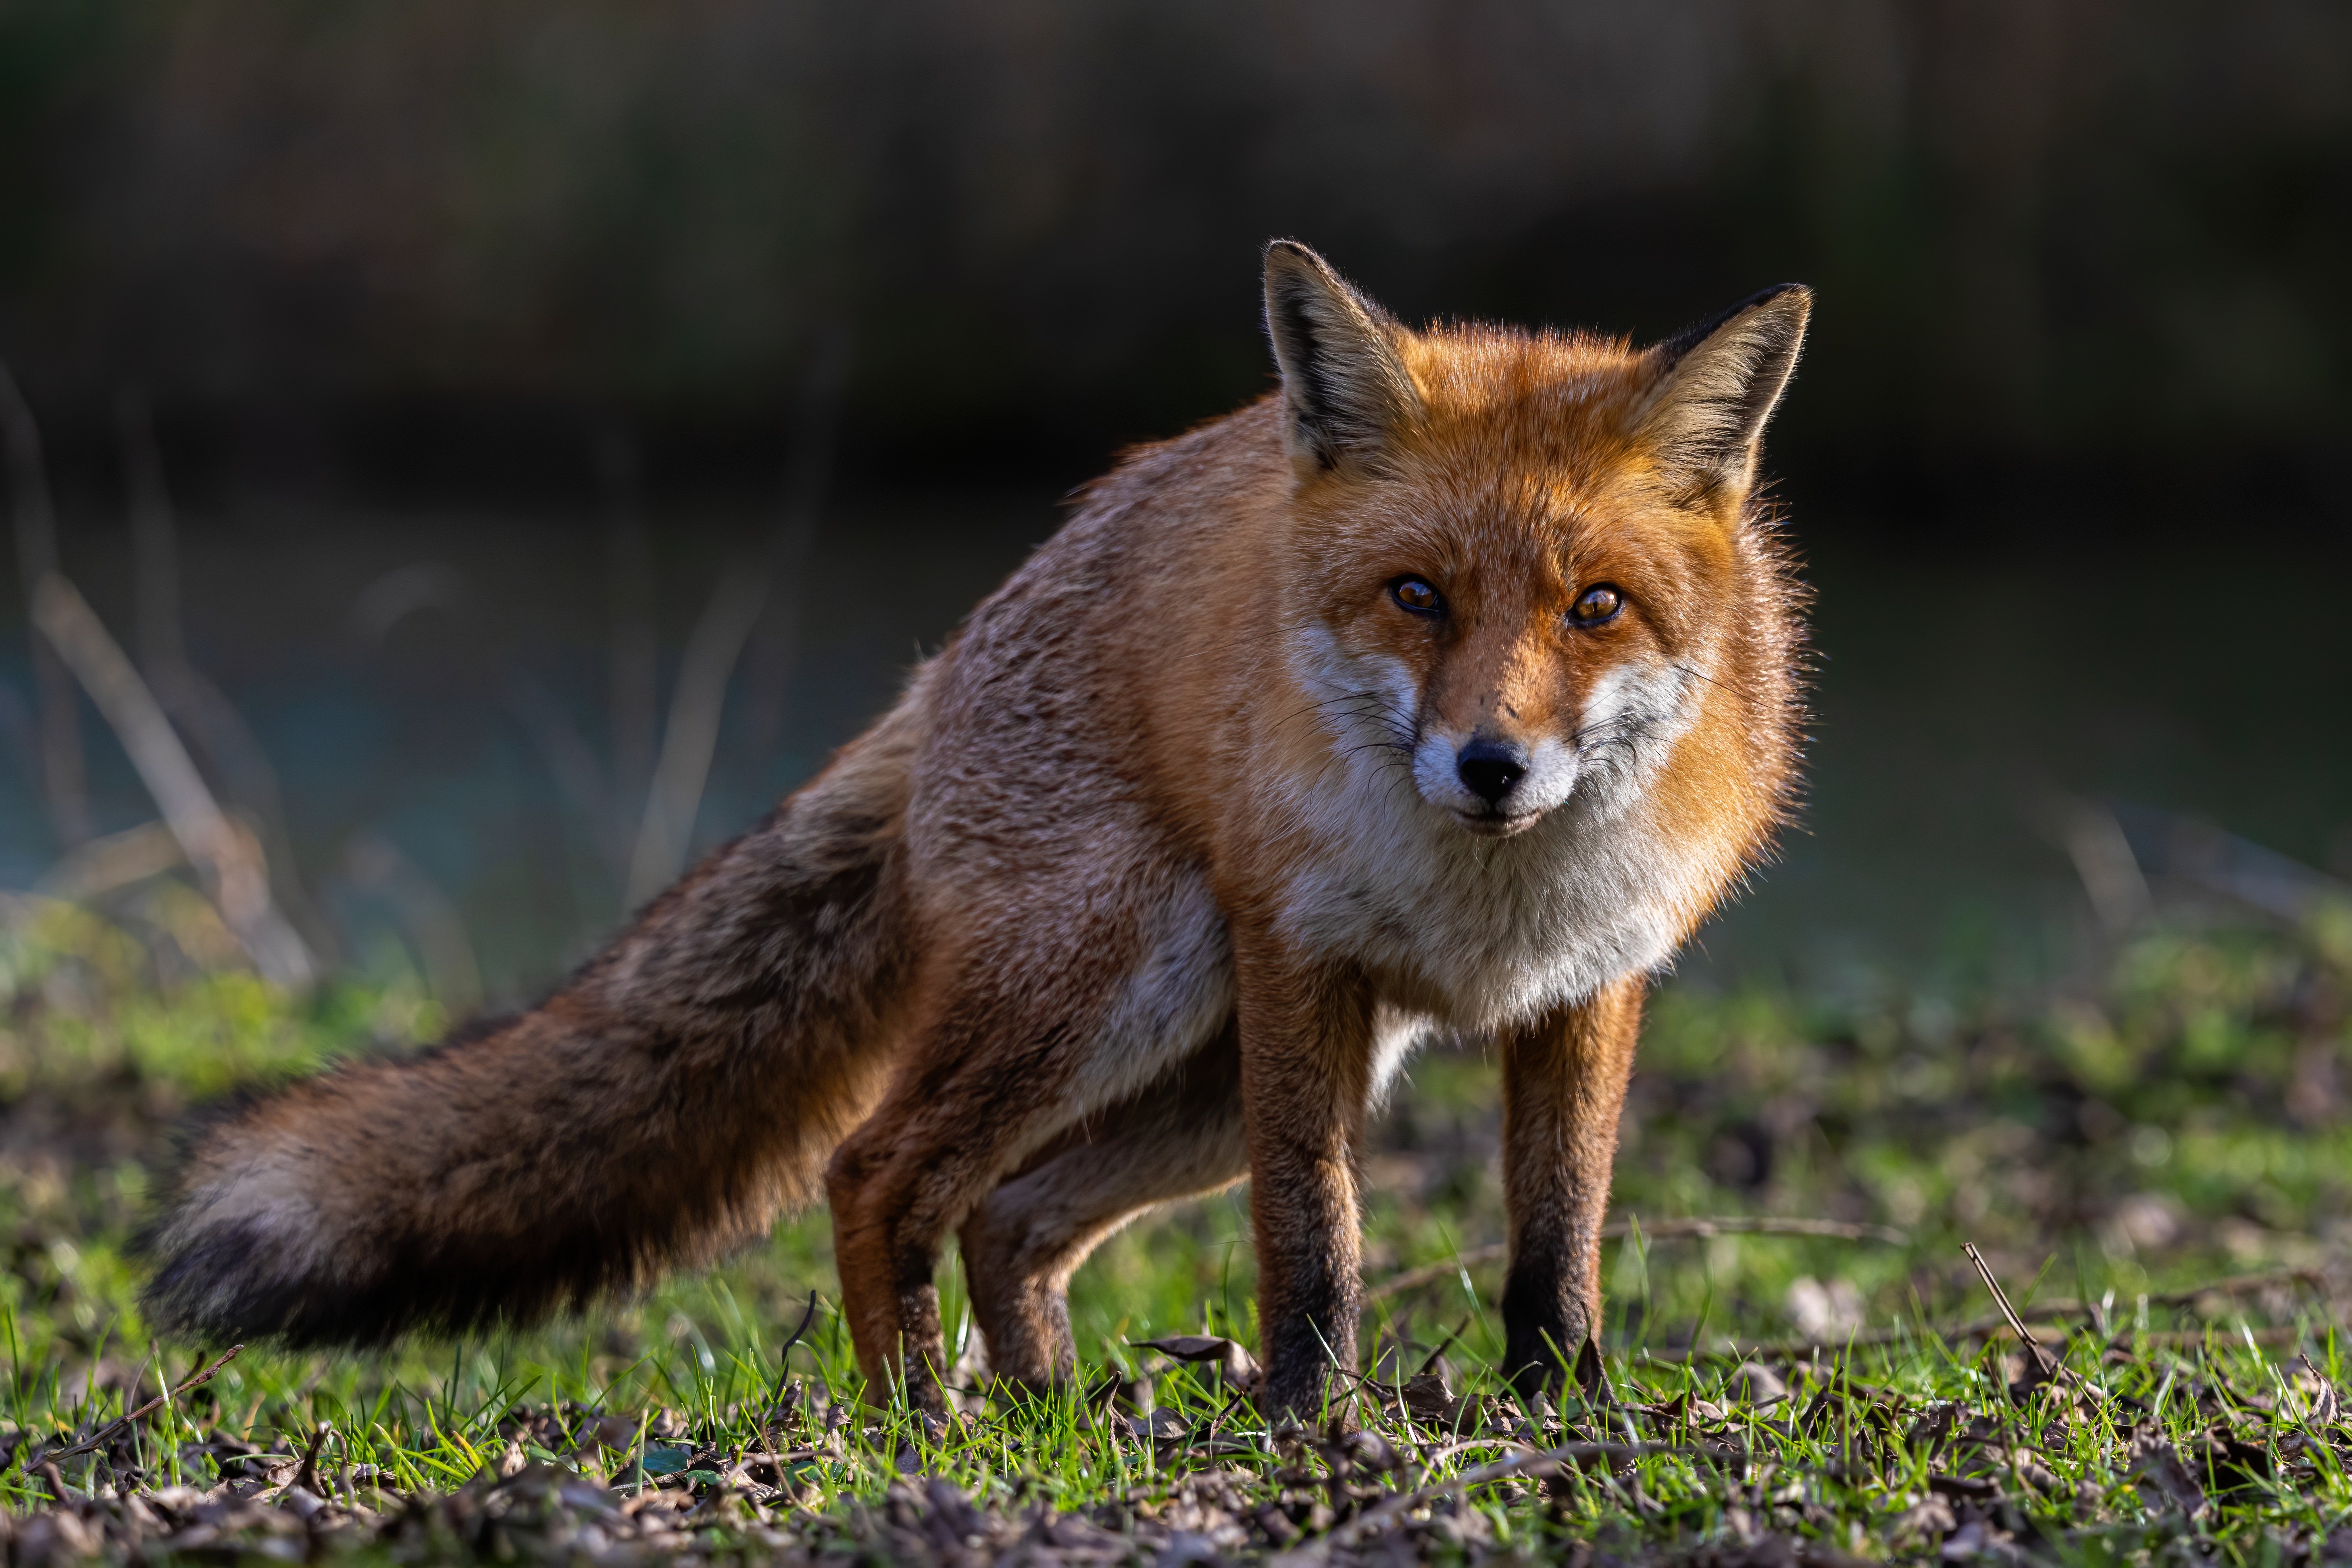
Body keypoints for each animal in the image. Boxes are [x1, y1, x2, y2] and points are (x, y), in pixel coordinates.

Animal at [143, 241, 1810, 1421]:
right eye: (1416, 595)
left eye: (1595, 606)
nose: (1491, 765)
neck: (1486, 901)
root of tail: (944, 659)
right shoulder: (1302, 962)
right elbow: (1312, 1234)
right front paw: (1311, 1418)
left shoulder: (1589, 985)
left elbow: (1555, 1236)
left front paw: (1561, 1406)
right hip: (1121, 989)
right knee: (880, 1171)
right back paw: (920, 1421)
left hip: (1201, 1069)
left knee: (1010, 1211)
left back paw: (1055, 1411)